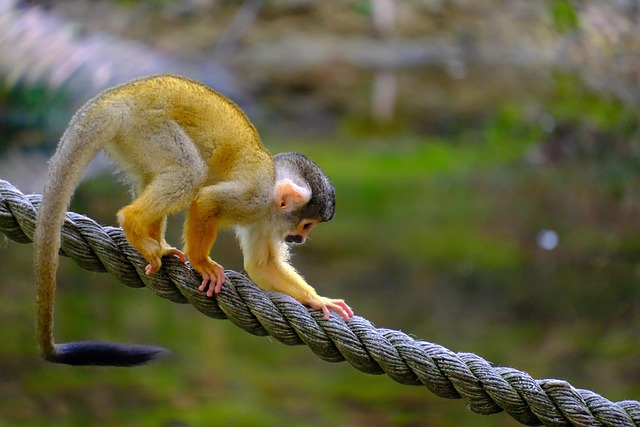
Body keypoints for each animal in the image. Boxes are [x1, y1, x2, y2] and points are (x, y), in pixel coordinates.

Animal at [33, 74, 353, 367]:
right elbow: (206, 202)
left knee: (155, 175)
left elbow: (261, 265)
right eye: (306, 224)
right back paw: (133, 222)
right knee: (190, 174)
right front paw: (202, 264)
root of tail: (118, 96)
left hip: (134, 139)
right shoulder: (254, 197)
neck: (271, 196)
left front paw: (316, 299)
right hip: (149, 127)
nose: (300, 238)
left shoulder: (265, 220)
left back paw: (155, 244)